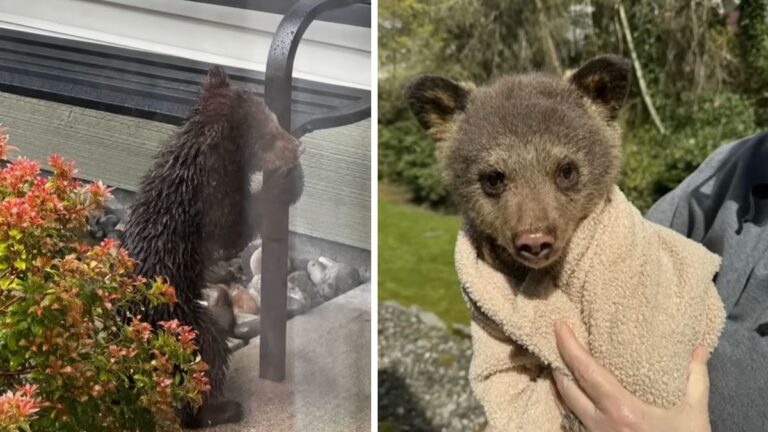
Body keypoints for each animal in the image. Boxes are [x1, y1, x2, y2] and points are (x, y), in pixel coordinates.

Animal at [121, 66, 303, 428]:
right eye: (270, 133)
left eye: (276, 119)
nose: (297, 146)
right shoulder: (213, 199)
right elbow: (236, 232)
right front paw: (287, 181)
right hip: (181, 326)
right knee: (207, 357)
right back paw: (222, 408)